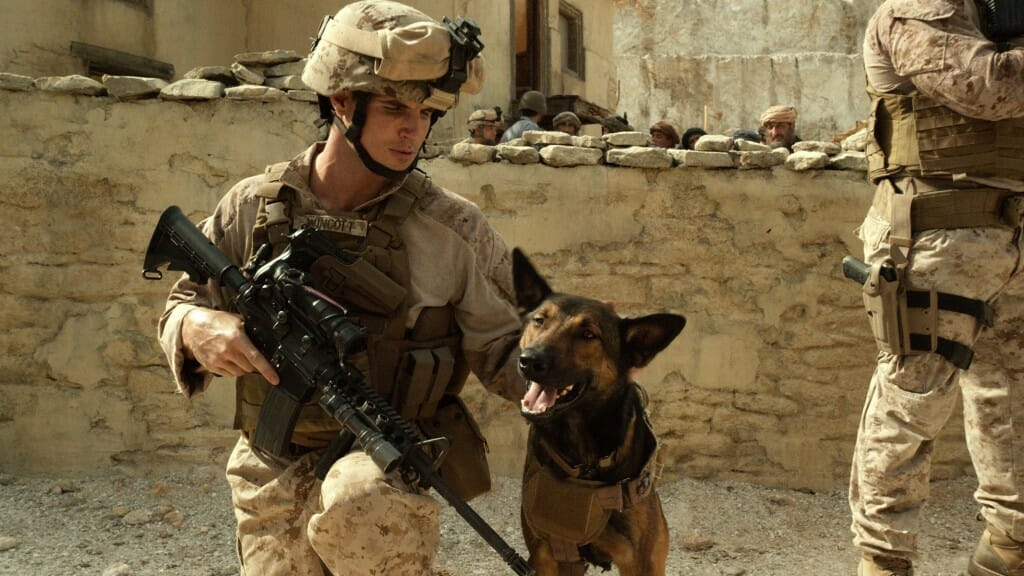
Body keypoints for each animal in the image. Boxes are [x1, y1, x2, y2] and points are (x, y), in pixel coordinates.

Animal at [512, 248, 686, 576]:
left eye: (588, 335)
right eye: (539, 320)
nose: (529, 361)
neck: (585, 462)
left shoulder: (640, 561)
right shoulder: (547, 556)